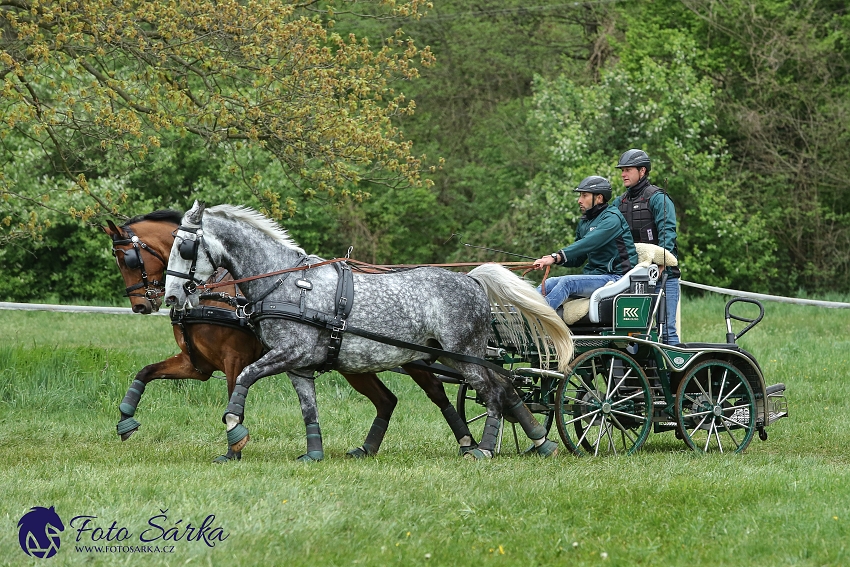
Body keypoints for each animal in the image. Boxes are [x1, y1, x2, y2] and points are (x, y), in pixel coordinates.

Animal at [102, 209, 476, 462]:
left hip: (413, 358)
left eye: (128, 258)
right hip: (356, 364)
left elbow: (234, 393)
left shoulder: (235, 359)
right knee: (387, 400)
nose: (145, 303)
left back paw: (469, 442)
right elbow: (145, 372)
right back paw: (368, 449)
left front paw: (234, 446)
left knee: (439, 394)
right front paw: (126, 419)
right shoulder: (197, 365)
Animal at [162, 202, 572, 460]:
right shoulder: (298, 366)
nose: (170, 297)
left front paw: (235, 428)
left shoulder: (289, 353)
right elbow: (308, 407)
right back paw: (541, 443)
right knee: (505, 387)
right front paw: (313, 453)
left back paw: (485, 448)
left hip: (464, 356)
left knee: (492, 392)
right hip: (448, 356)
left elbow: (245, 378)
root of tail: (471, 280)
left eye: (184, 247)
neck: (286, 284)